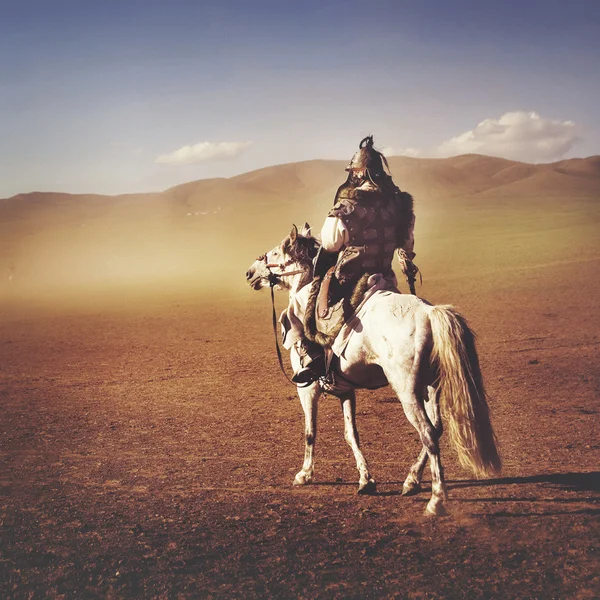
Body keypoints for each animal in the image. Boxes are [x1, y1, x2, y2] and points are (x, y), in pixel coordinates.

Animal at [245, 225, 502, 516]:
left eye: (277, 252)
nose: (250, 273)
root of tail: (429, 313)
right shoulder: (345, 389)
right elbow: (351, 434)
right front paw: (366, 480)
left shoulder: (307, 388)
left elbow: (310, 432)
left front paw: (305, 475)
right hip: (431, 386)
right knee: (436, 428)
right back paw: (411, 480)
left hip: (407, 390)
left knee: (427, 433)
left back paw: (436, 500)